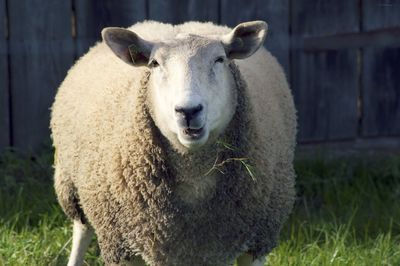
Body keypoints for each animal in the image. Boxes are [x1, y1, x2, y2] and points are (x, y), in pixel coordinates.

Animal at [50, 19, 296, 264]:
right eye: (155, 63)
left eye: (219, 59)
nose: (188, 110)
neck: (195, 177)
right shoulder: (120, 244)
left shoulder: (257, 240)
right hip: (71, 187)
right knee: (81, 230)